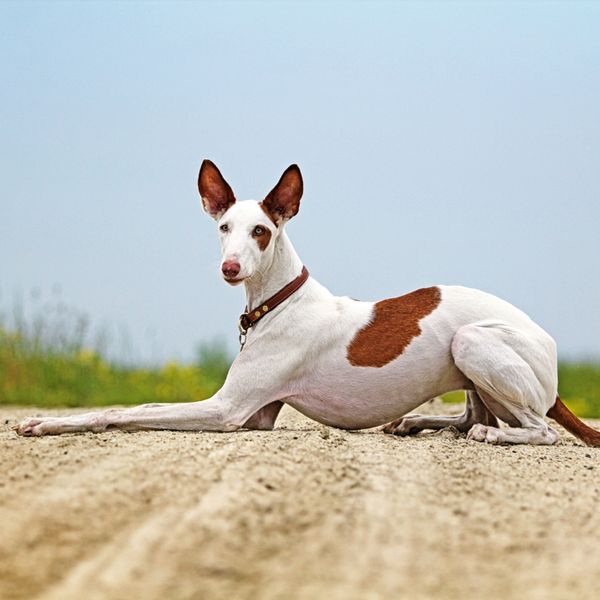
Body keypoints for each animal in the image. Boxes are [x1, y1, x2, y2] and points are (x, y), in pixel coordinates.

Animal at [12, 161, 600, 446]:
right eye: (223, 228)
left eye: (262, 231)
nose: (230, 268)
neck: (279, 302)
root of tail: (548, 348)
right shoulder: (252, 413)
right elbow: (141, 407)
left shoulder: (230, 411)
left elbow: (123, 412)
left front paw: (46, 425)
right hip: (470, 366)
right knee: (471, 415)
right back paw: (417, 422)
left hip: (473, 341)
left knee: (535, 430)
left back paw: (493, 434)